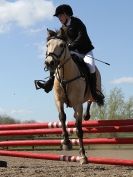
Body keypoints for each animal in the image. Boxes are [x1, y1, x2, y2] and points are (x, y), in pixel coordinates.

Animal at [44, 28, 104, 165]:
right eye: (47, 45)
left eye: (62, 45)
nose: (50, 63)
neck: (65, 76)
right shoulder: (58, 101)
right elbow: (62, 117)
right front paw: (66, 142)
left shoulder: (78, 104)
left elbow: (78, 129)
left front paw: (83, 156)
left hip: (92, 92)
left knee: (90, 100)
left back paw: (87, 115)